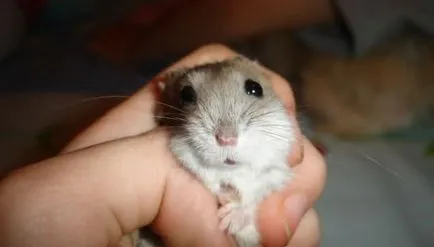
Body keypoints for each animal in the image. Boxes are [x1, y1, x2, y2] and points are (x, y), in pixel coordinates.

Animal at [137, 56, 296, 247]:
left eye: (255, 88)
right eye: (186, 95)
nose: (226, 139)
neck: (230, 170)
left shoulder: (273, 174)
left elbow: (251, 197)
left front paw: (230, 220)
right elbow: (211, 183)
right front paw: (226, 196)